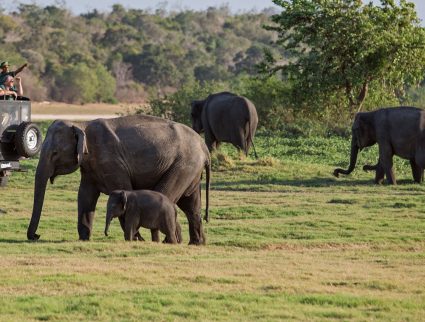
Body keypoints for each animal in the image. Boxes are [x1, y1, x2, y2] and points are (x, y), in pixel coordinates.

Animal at [26, 115, 210, 244]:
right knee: (191, 206)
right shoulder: (90, 169)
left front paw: (137, 240)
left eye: (55, 153)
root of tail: (204, 147)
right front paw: (84, 239)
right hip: (190, 170)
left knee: (167, 196)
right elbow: (85, 197)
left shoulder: (111, 162)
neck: (81, 124)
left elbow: (123, 190)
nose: (36, 235)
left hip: (183, 165)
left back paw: (169, 241)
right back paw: (194, 243)